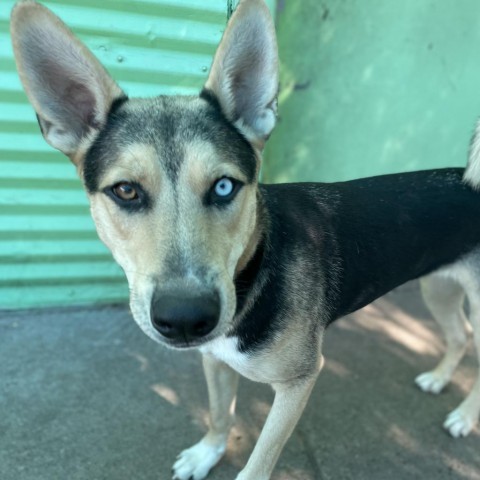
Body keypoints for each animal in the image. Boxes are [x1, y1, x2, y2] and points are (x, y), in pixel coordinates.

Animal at [10, 0, 480, 480]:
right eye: (125, 190)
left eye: (224, 187)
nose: (185, 319)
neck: (255, 266)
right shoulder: (213, 357)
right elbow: (220, 414)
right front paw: (208, 452)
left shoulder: (299, 381)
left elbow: (258, 462)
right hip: (437, 287)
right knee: (460, 335)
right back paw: (441, 377)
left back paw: (464, 416)